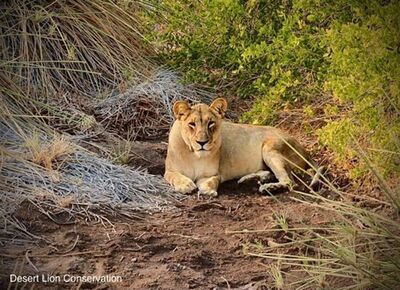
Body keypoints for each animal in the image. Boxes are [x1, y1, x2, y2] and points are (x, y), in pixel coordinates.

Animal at [164, 98, 324, 197]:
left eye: (211, 123)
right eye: (192, 124)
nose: (202, 142)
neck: (195, 155)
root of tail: (304, 150)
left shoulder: (213, 174)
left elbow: (211, 180)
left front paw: (207, 190)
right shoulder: (169, 171)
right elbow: (175, 176)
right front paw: (186, 185)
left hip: (270, 147)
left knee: (290, 181)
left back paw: (268, 188)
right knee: (272, 174)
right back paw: (249, 180)